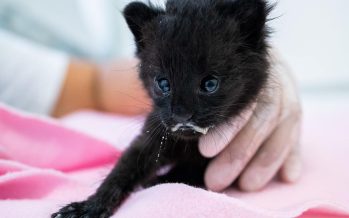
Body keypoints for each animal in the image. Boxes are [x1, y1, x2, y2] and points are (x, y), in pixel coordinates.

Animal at [53, 0, 272, 216]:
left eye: (210, 84)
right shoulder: (153, 134)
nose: (182, 115)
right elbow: (123, 169)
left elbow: (192, 170)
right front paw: (86, 207)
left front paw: (158, 180)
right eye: (163, 83)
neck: (189, 144)